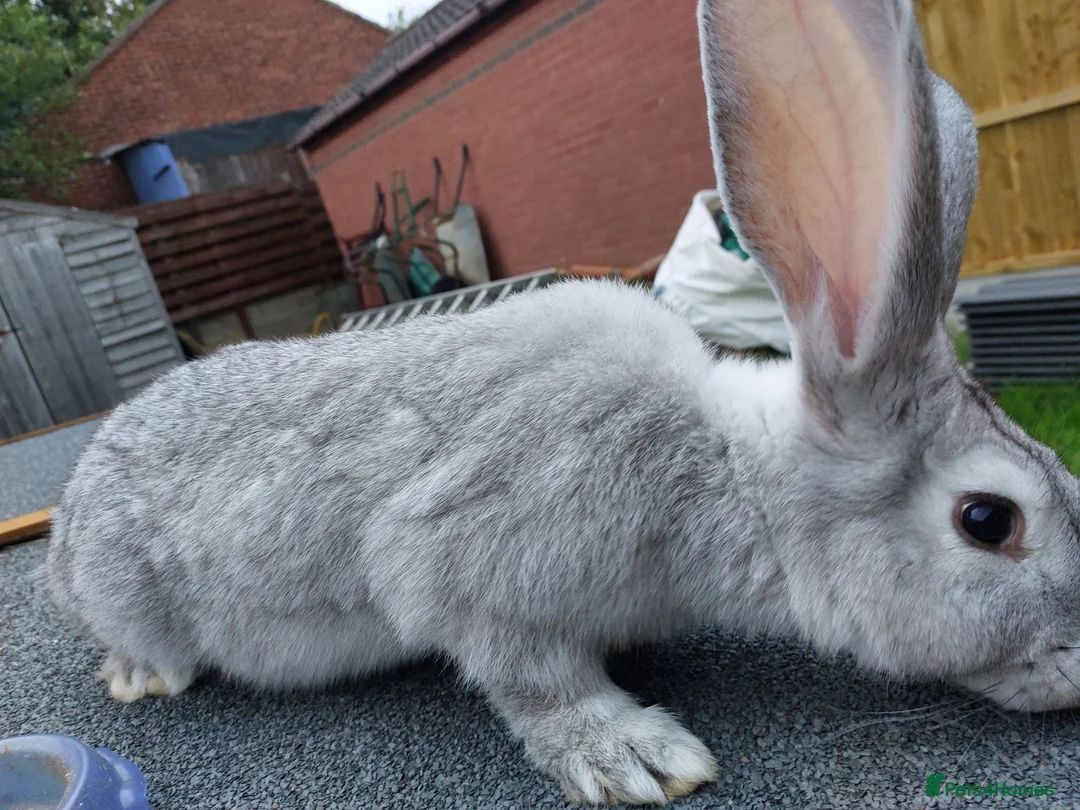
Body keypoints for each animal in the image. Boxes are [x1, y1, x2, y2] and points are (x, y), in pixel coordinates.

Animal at [46, 0, 1080, 805]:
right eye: (988, 520)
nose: (1079, 666)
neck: (729, 472)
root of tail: (64, 524)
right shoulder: (470, 567)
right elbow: (529, 676)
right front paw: (635, 757)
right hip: (125, 593)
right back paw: (142, 675)